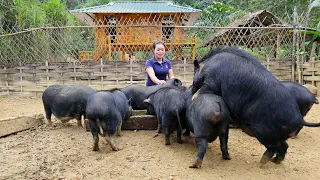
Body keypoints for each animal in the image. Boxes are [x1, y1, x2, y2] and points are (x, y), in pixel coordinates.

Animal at [191, 46, 320, 165]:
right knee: (284, 146)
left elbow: (203, 90)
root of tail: (299, 119)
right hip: (277, 135)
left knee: (274, 147)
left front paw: (193, 97)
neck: (207, 66)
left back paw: (263, 162)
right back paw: (275, 161)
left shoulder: (211, 82)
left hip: (264, 132)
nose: (191, 87)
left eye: (194, 75)